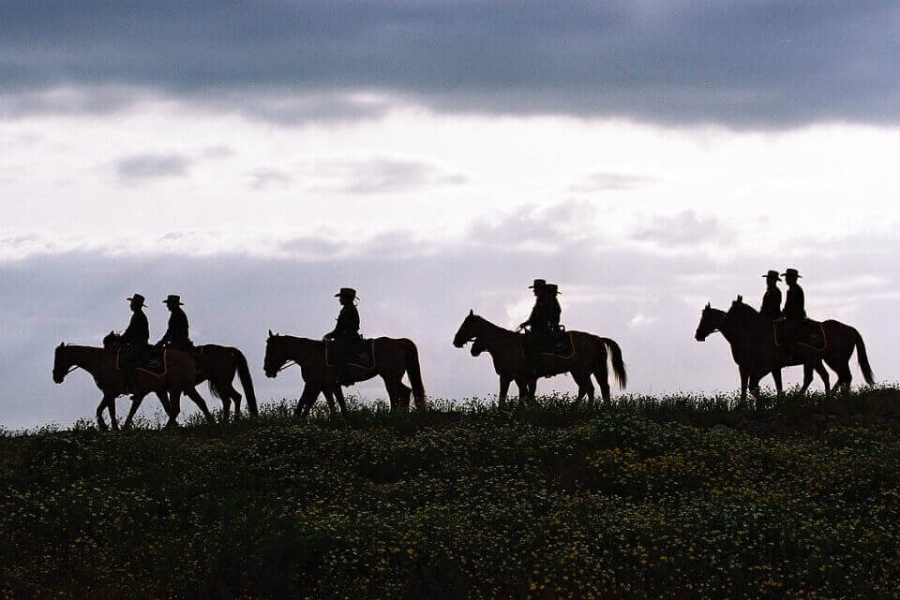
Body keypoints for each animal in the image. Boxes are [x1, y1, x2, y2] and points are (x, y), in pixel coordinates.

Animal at [53, 340, 214, 428]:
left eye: (58, 358)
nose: (56, 377)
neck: (101, 361)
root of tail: (190, 356)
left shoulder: (110, 392)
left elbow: (101, 410)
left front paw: (105, 427)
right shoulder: (111, 393)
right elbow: (111, 411)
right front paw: (116, 428)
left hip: (176, 389)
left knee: (176, 409)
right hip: (183, 388)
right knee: (199, 403)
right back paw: (211, 422)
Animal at [262, 330, 428, 420]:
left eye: (270, 349)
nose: (267, 370)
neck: (310, 355)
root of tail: (399, 342)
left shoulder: (313, 384)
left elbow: (305, 402)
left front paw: (297, 419)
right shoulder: (327, 386)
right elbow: (335, 403)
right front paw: (339, 419)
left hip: (389, 377)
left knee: (396, 395)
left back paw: (394, 415)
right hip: (393, 377)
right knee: (405, 392)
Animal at [450, 312, 624, 406]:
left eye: (466, 325)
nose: (456, 341)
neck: (504, 344)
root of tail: (597, 338)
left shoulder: (513, 377)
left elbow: (520, 396)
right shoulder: (516, 378)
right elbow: (518, 395)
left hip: (580, 371)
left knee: (589, 389)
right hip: (593, 370)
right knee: (598, 388)